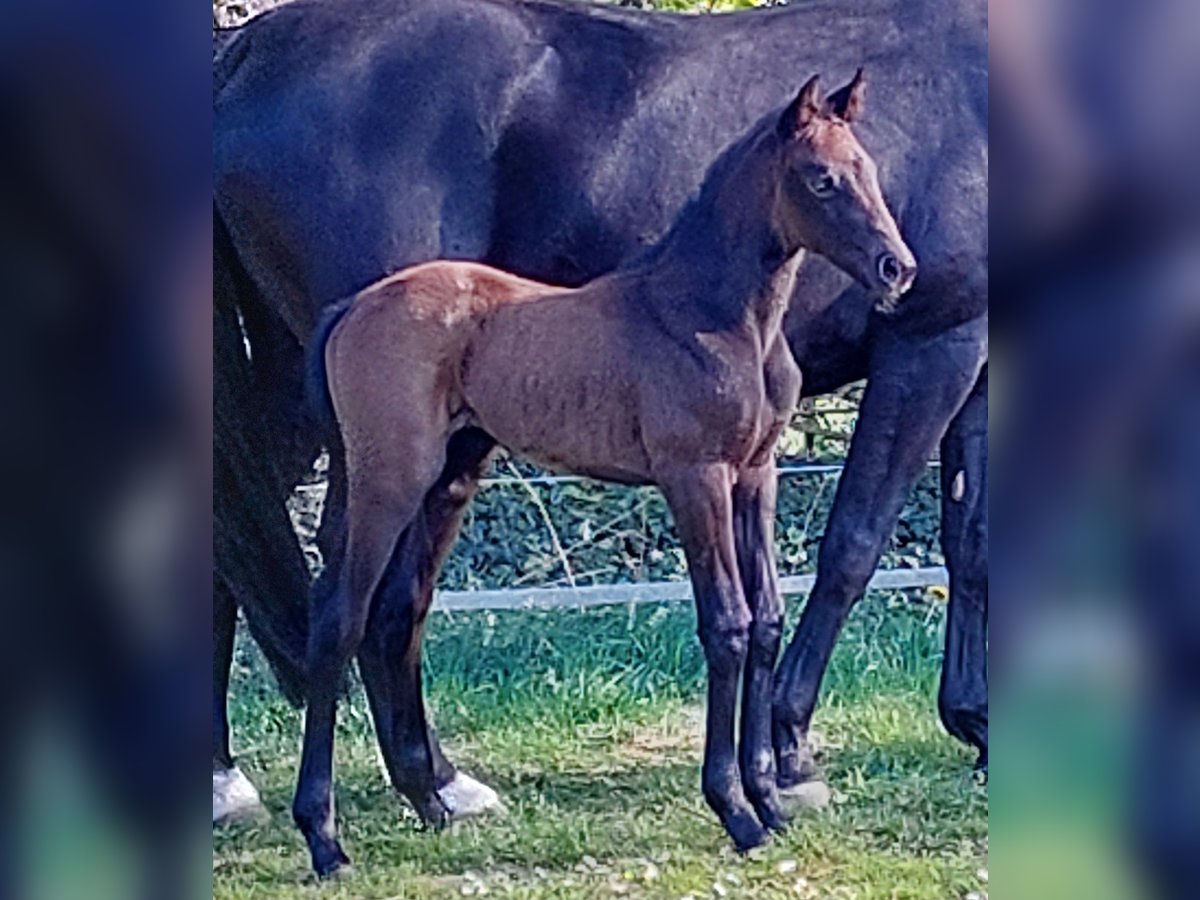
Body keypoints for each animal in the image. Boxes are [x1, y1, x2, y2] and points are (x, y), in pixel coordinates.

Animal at [295, 72, 912, 883]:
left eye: (866, 169)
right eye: (820, 178)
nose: (898, 268)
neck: (714, 315)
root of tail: (351, 307)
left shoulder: (757, 476)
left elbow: (769, 620)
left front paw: (770, 802)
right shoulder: (694, 477)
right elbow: (728, 625)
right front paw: (736, 811)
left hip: (438, 480)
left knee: (392, 614)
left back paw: (431, 807)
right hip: (387, 482)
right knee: (339, 619)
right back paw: (325, 840)